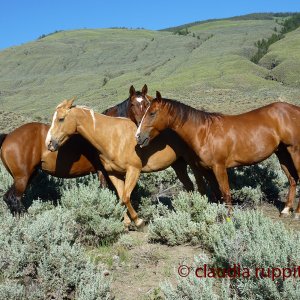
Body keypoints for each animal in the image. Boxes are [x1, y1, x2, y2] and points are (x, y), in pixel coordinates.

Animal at [46, 98, 209, 227]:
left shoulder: (133, 170)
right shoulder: (113, 174)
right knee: (189, 185)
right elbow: (120, 198)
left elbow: (125, 197)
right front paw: (126, 222)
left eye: (61, 119)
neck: (112, 138)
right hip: (178, 164)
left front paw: (138, 221)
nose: (49, 143)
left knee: (199, 184)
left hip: (191, 162)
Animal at [137, 90, 300, 219]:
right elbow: (216, 194)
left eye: (152, 113)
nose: (138, 136)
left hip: (294, 151)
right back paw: (286, 210)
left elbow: (225, 193)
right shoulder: (206, 170)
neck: (204, 133)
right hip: (282, 153)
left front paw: (229, 218)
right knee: (292, 179)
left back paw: (297, 213)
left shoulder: (219, 167)